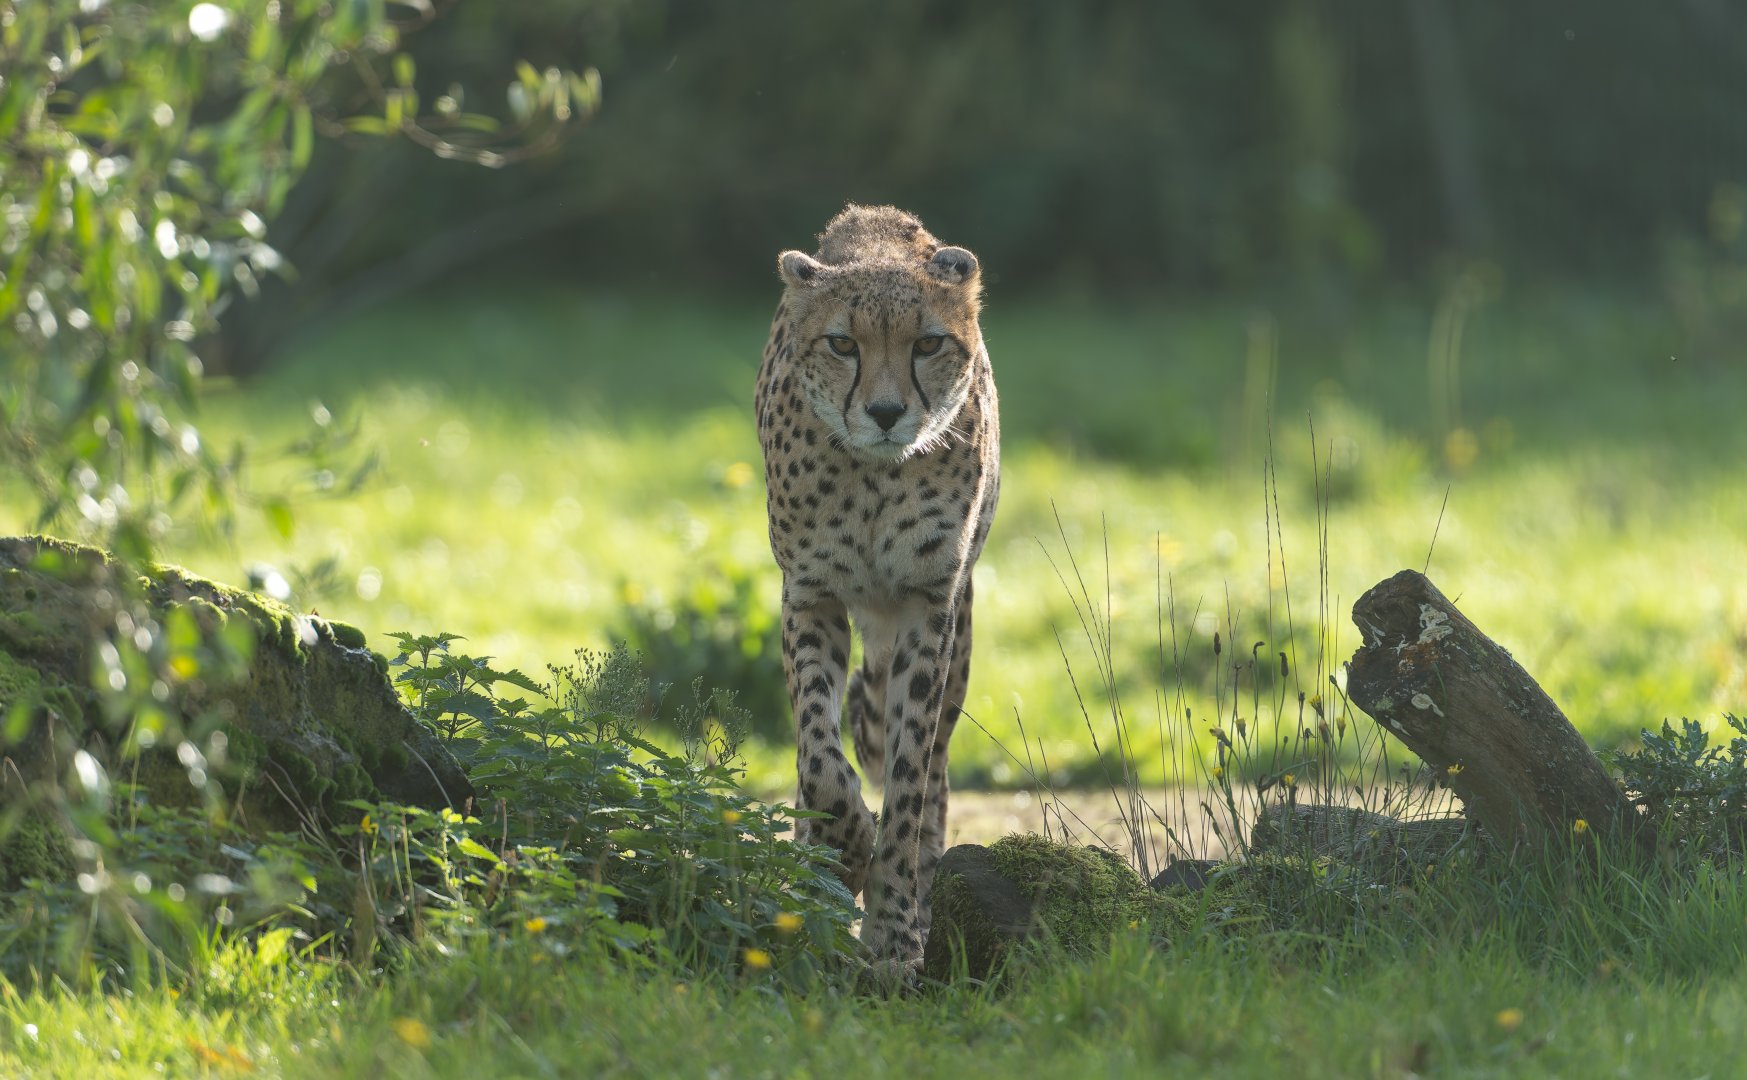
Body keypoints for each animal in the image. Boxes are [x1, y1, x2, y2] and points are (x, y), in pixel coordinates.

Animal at [755, 204, 1000, 967]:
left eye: (928, 343)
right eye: (842, 343)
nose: (887, 413)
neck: (872, 477)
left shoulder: (929, 605)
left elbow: (908, 774)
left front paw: (893, 932)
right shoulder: (811, 595)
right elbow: (819, 755)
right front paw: (843, 847)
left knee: (932, 765)